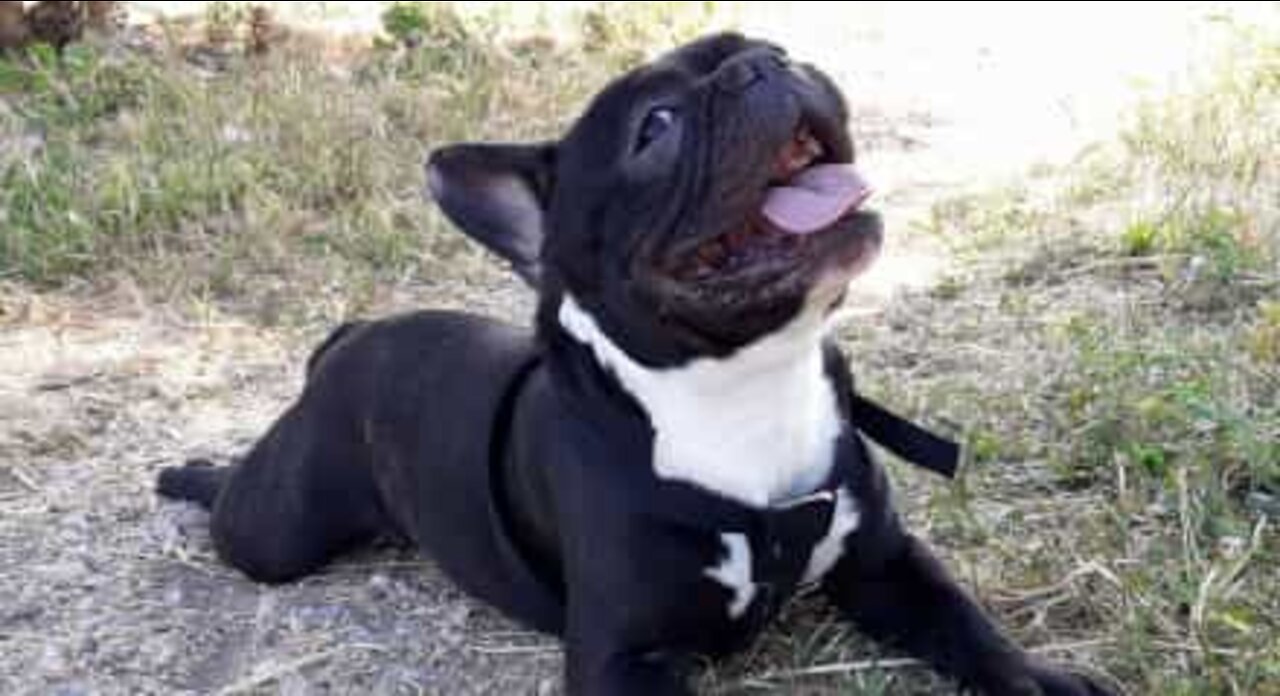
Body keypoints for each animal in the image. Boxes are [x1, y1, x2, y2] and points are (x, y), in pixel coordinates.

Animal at [160, 33, 1116, 696]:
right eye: (655, 127)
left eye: (767, 43)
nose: (766, 63)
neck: (748, 388)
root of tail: (351, 337)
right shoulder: (625, 657)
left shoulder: (887, 565)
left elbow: (972, 630)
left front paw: (1045, 678)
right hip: (276, 531)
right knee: (241, 512)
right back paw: (191, 472)